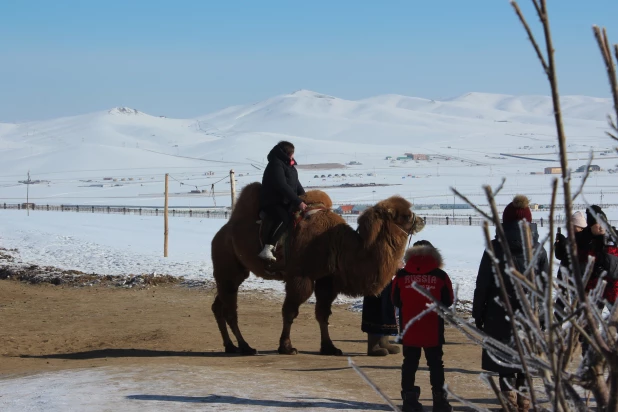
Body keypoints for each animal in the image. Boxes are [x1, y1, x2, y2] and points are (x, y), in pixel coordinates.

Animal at [211, 182, 424, 356]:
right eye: (405, 215)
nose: (422, 220)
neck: (337, 243)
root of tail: (221, 233)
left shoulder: (326, 280)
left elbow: (323, 314)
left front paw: (330, 347)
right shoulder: (301, 277)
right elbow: (290, 312)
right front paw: (287, 347)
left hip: (234, 273)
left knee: (218, 306)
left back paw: (230, 346)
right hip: (227, 266)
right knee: (230, 309)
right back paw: (245, 346)